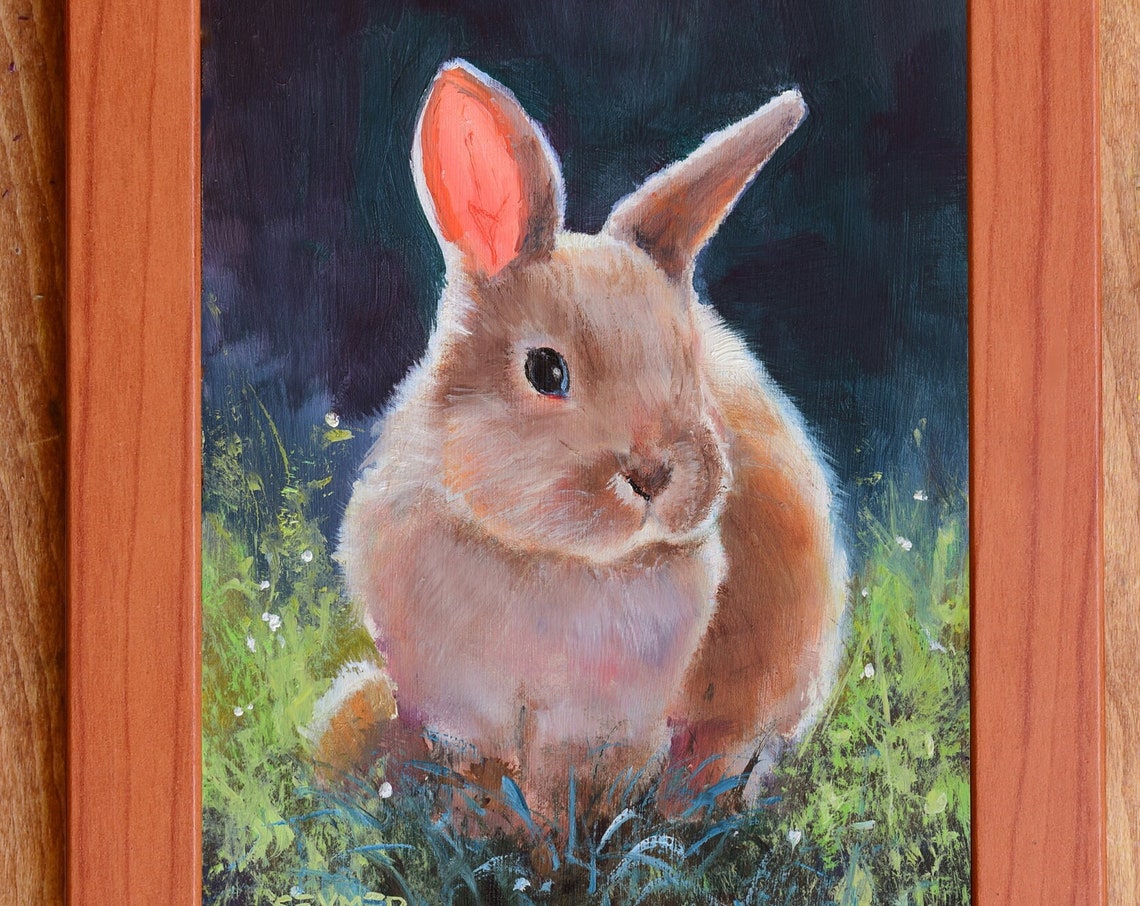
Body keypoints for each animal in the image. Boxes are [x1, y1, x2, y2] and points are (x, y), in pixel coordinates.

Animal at [323, 60, 847, 820]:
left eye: (687, 362)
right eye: (546, 371)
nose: (656, 475)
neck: (548, 559)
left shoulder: (608, 725)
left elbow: (576, 789)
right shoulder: (463, 717)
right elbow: (495, 784)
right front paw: (496, 834)